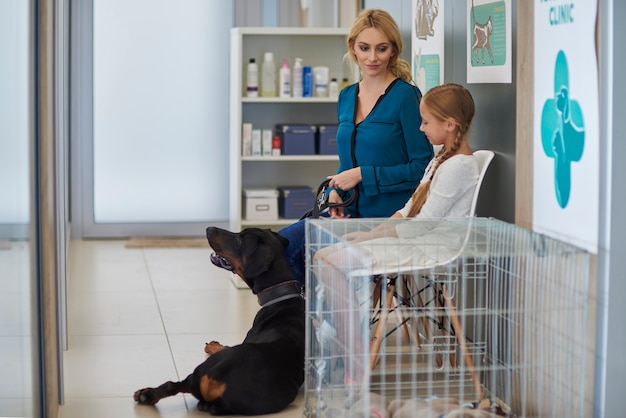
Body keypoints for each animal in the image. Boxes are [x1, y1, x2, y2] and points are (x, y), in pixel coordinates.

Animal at [133, 227, 304, 416]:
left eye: (240, 239)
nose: (209, 229)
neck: (281, 295)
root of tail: (220, 383)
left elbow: (224, 346)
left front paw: (213, 345)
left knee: (177, 386)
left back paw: (147, 394)